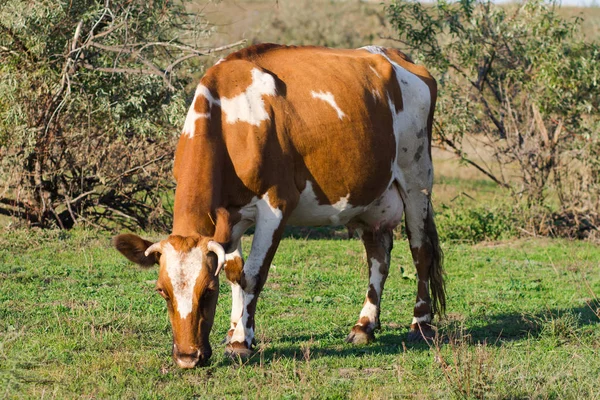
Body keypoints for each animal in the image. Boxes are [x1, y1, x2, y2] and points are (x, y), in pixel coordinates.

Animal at [113, 43, 446, 368]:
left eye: (208, 290)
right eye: (162, 291)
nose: (186, 357)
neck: (231, 120)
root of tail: (394, 55)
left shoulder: (275, 206)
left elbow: (252, 275)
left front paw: (240, 342)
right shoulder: (230, 217)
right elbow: (234, 272)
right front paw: (235, 329)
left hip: (417, 178)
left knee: (421, 251)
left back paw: (420, 323)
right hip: (370, 199)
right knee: (379, 256)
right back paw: (365, 325)